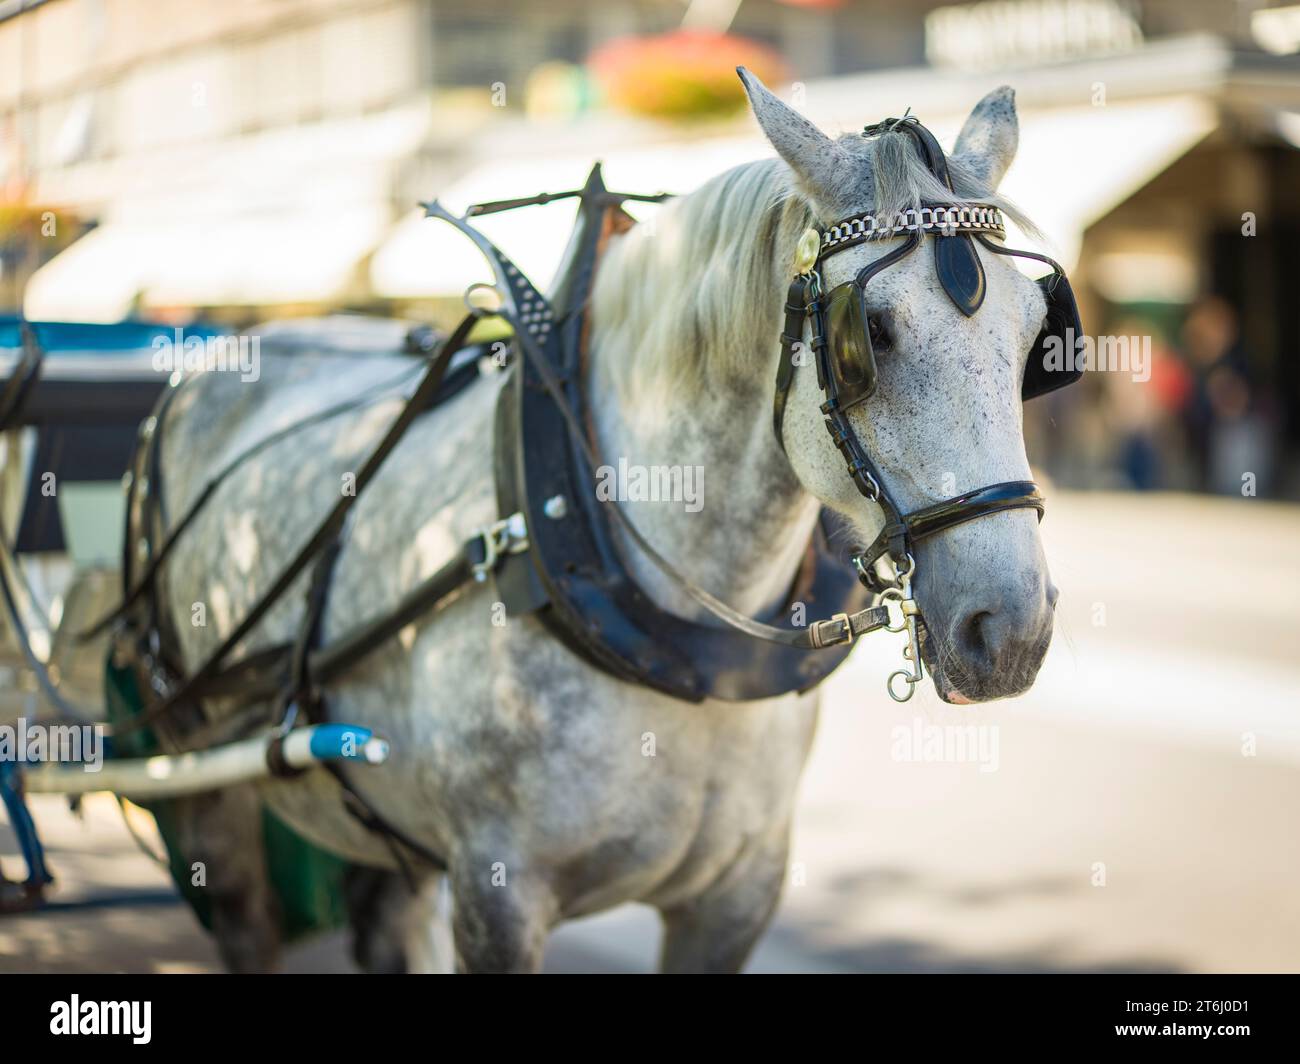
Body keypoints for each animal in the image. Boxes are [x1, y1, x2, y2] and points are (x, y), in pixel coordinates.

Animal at [148, 70, 1058, 973]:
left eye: (1038, 336)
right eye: (867, 333)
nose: (1011, 630)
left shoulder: (735, 897)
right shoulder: (497, 894)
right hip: (199, 781)